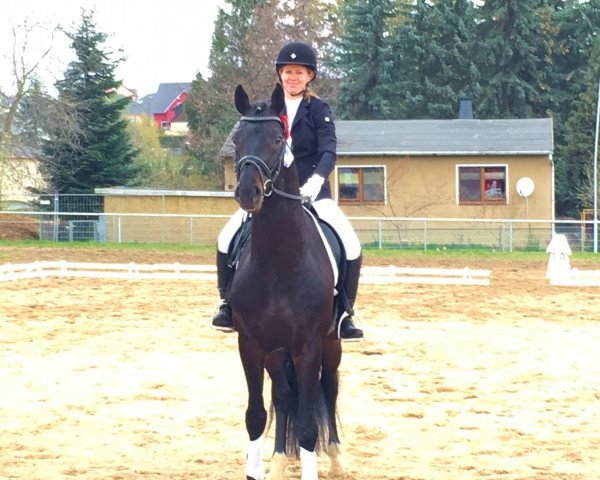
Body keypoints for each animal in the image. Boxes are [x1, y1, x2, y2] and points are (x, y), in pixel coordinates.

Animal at [227, 83, 344, 480]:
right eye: (236, 139)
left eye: (278, 139)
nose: (248, 193)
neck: (279, 259)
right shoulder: (250, 344)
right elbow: (255, 415)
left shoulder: (308, 346)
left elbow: (308, 425)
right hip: (276, 352)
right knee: (282, 394)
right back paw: (278, 458)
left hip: (330, 343)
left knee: (330, 386)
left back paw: (336, 457)